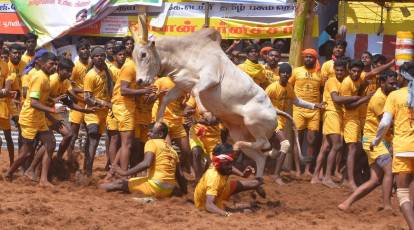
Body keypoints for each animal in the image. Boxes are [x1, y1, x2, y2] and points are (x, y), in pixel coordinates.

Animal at [130, 20, 300, 178]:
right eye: (133, 56)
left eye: (143, 54)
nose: (140, 81)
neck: (185, 55)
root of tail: (275, 112)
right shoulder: (181, 86)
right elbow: (166, 99)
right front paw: (158, 123)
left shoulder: (210, 78)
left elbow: (196, 90)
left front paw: (206, 114)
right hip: (238, 132)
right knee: (260, 157)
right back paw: (257, 181)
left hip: (253, 122)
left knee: (265, 145)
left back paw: (238, 149)